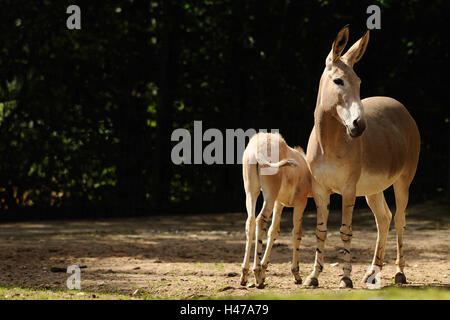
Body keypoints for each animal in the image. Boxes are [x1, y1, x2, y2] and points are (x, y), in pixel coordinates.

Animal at [241, 132, 312, 288]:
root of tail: (257, 149)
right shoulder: (300, 203)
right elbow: (297, 233)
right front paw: (296, 275)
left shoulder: (279, 204)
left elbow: (273, 231)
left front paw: (264, 270)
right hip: (269, 195)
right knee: (260, 220)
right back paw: (257, 276)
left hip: (251, 192)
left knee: (250, 222)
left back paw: (244, 275)